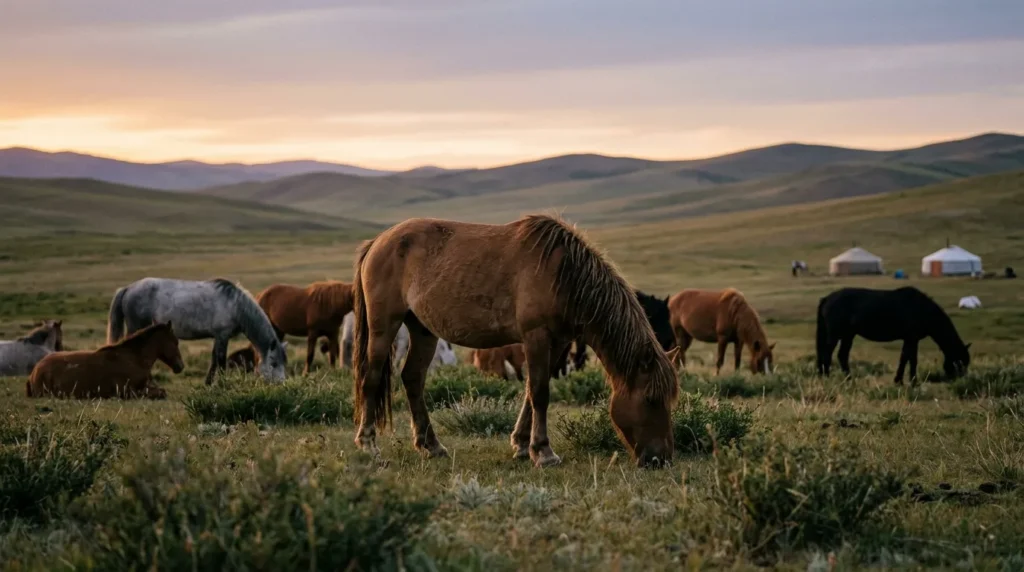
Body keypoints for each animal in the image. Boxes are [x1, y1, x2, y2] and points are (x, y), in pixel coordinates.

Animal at [27, 321, 183, 400]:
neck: (134, 359)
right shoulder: (127, 391)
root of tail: (35, 371)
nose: (180, 366)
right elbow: (161, 392)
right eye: (176, 342)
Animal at [106, 277, 287, 385]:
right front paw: (222, 383)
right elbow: (220, 360)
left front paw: (208, 383)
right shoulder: (222, 336)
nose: (281, 384)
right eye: (274, 363)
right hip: (136, 326)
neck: (235, 306)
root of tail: (128, 288)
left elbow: (214, 359)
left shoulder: (218, 337)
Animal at [350, 214, 679, 468]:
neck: (564, 276)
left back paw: (431, 445)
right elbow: (540, 393)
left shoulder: (558, 342)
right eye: (650, 399)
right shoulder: (536, 337)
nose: (660, 459)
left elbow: (532, 391)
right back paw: (368, 445)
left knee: (413, 378)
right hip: (384, 327)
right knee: (372, 377)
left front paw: (522, 445)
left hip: (422, 330)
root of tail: (377, 242)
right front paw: (543, 453)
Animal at [816, 286, 971, 384]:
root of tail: (827, 298)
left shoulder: (910, 339)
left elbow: (908, 358)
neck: (922, 309)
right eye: (960, 362)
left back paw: (849, 379)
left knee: (842, 355)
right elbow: (909, 359)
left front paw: (905, 381)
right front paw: (907, 381)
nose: (960, 381)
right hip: (836, 335)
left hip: (848, 335)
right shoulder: (911, 338)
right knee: (827, 354)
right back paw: (827, 377)